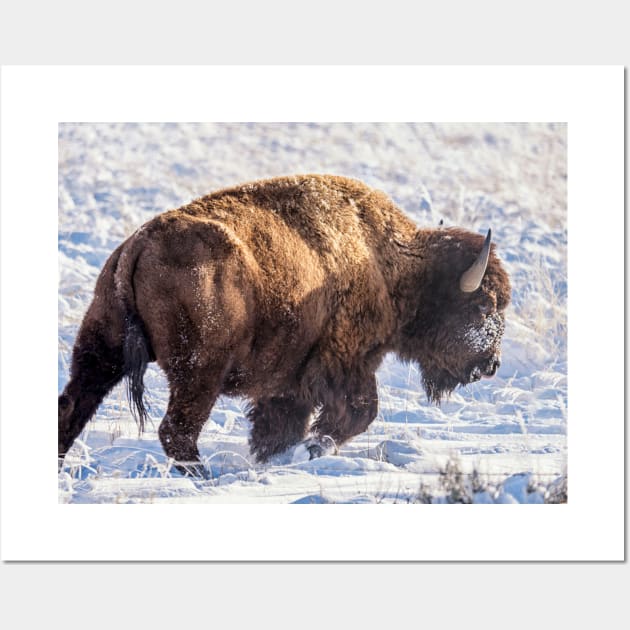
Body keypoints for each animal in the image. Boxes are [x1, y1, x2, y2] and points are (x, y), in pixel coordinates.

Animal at [58, 175, 512, 476]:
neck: (389, 263)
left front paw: (275, 457)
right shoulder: (344, 360)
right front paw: (312, 449)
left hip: (101, 350)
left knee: (72, 406)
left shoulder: (289, 378)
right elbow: (359, 410)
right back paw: (202, 477)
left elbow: (278, 424)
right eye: (483, 305)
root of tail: (138, 245)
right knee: (177, 429)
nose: (491, 365)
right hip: (199, 370)